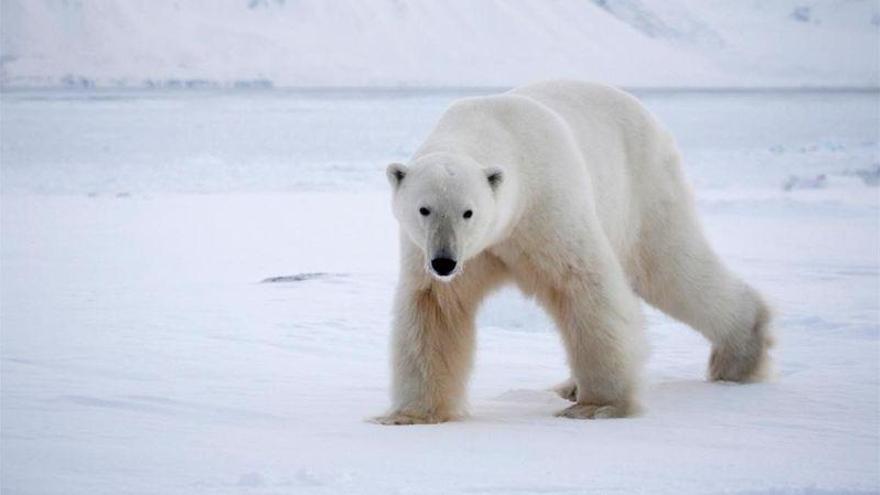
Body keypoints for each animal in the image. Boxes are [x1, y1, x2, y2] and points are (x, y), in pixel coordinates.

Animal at [374, 81, 772, 426]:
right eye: (424, 209)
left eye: (468, 212)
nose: (445, 261)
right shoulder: (441, 253)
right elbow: (435, 310)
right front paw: (410, 415)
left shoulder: (545, 206)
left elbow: (583, 285)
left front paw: (599, 406)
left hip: (644, 188)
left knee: (672, 269)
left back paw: (740, 356)